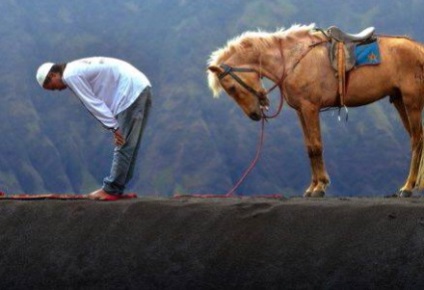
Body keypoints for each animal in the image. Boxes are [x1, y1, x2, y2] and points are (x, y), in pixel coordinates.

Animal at [207, 23, 424, 198]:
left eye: (231, 88)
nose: (254, 115)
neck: (292, 59)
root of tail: (419, 50)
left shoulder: (310, 108)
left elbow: (316, 146)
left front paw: (320, 187)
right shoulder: (301, 110)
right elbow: (309, 147)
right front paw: (314, 187)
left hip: (411, 101)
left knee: (416, 139)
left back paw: (407, 188)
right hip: (399, 100)